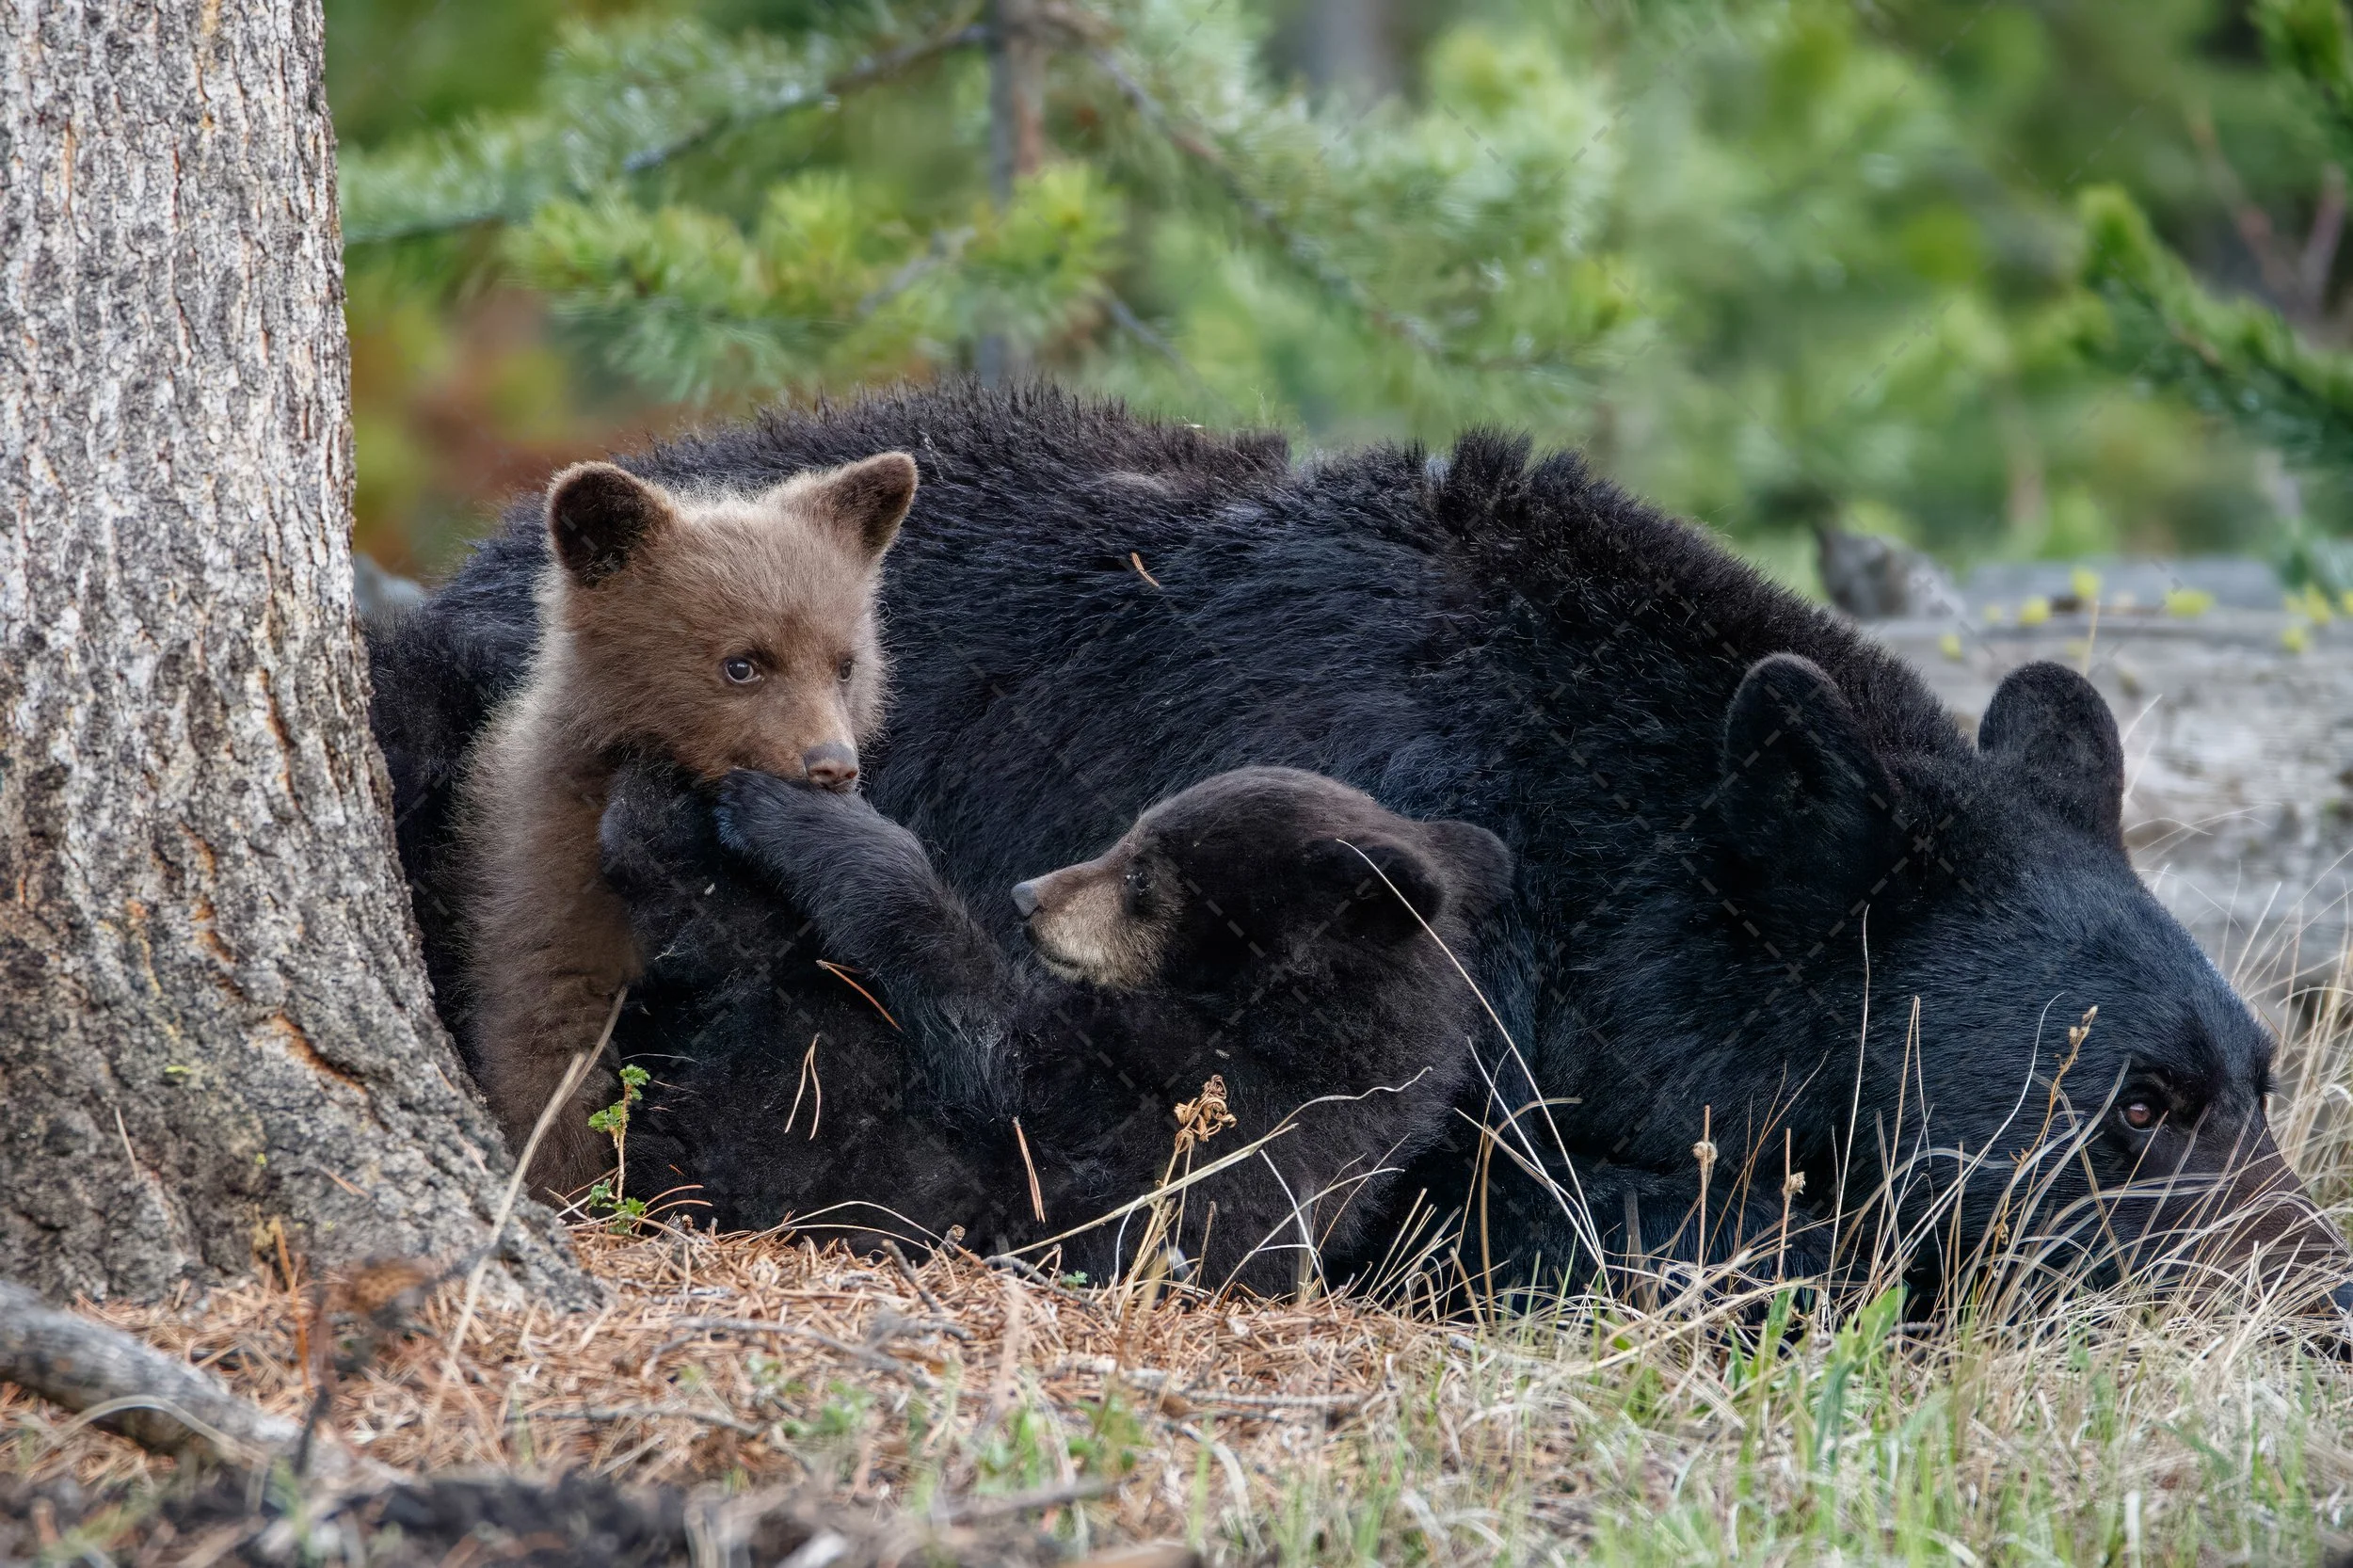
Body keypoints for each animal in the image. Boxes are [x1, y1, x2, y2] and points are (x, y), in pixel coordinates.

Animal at [450, 450, 918, 1198]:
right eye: (742, 664)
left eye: (845, 664)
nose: (833, 765)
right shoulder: (550, 868)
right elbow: (546, 1028)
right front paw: (563, 1178)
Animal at [595, 762, 1512, 1293]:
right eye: (1130, 833)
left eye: (1141, 873)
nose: (1029, 896)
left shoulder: (1178, 1090)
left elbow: (997, 1053)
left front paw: (807, 818)